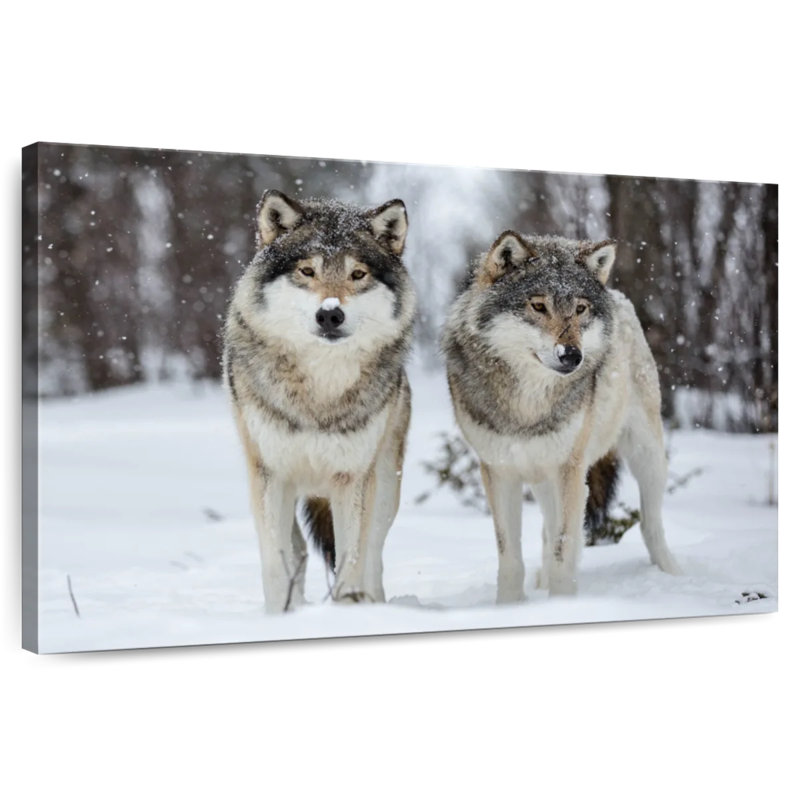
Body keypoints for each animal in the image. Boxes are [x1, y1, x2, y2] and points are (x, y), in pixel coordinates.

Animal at [223, 190, 415, 612]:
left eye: (357, 274)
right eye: (307, 271)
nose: (330, 314)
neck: (320, 391)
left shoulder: (352, 478)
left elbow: (352, 559)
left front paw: (347, 608)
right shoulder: (270, 475)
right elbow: (276, 563)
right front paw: (279, 616)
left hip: (384, 486)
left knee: (373, 552)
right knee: (297, 552)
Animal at [443, 230, 680, 602]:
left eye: (580, 309)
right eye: (538, 306)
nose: (572, 356)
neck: (528, 404)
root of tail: (619, 296)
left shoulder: (569, 470)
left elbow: (564, 548)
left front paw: (562, 602)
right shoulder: (499, 473)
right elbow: (510, 556)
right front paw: (510, 605)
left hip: (646, 456)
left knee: (649, 523)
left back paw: (672, 575)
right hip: (544, 477)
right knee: (547, 530)